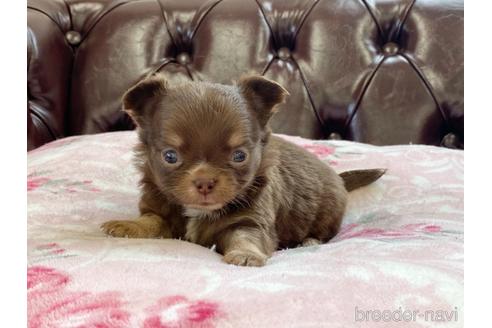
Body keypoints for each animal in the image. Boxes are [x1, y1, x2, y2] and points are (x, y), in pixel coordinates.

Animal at [101, 74, 384, 266]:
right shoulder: (158, 208)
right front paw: (127, 225)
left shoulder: (251, 221)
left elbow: (245, 238)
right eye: (170, 156)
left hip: (329, 212)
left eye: (239, 156)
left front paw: (245, 255)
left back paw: (310, 241)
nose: (204, 181)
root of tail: (338, 178)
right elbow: (150, 220)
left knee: (324, 232)